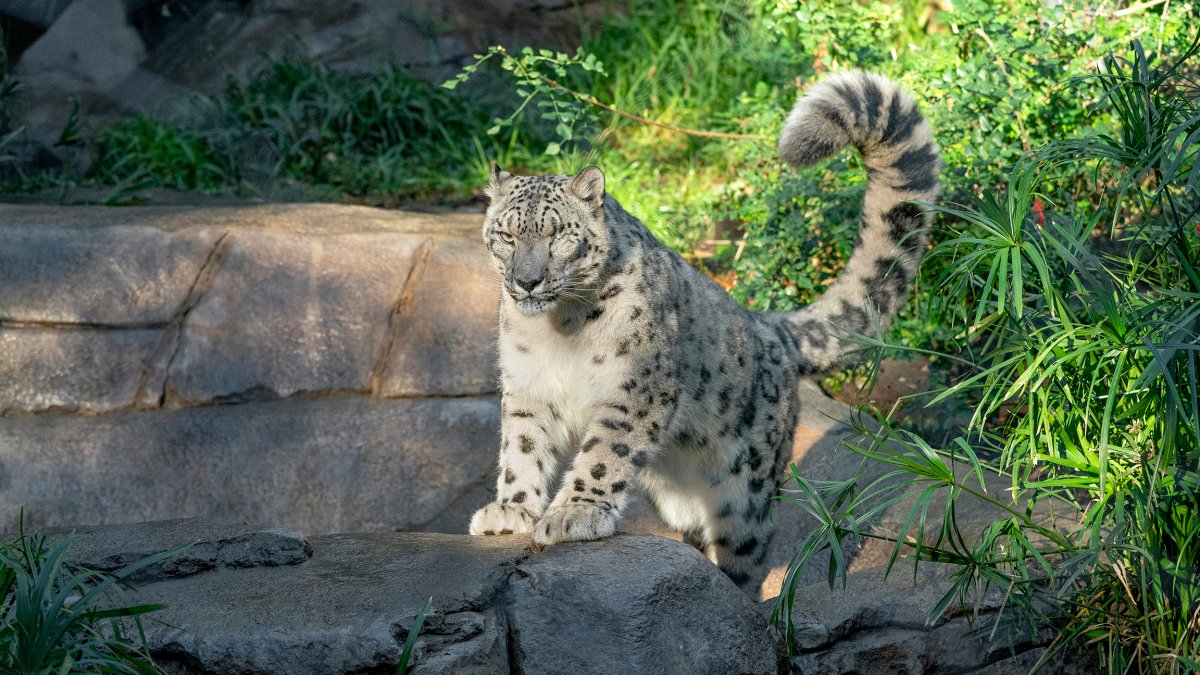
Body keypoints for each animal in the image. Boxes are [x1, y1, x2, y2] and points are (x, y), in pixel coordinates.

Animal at [465, 70, 936, 590]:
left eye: (558, 236)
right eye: (506, 235)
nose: (527, 281)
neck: (559, 330)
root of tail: (769, 327)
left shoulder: (636, 386)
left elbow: (605, 452)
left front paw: (575, 513)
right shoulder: (528, 384)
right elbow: (522, 447)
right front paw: (510, 511)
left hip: (745, 488)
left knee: (748, 547)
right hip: (680, 500)